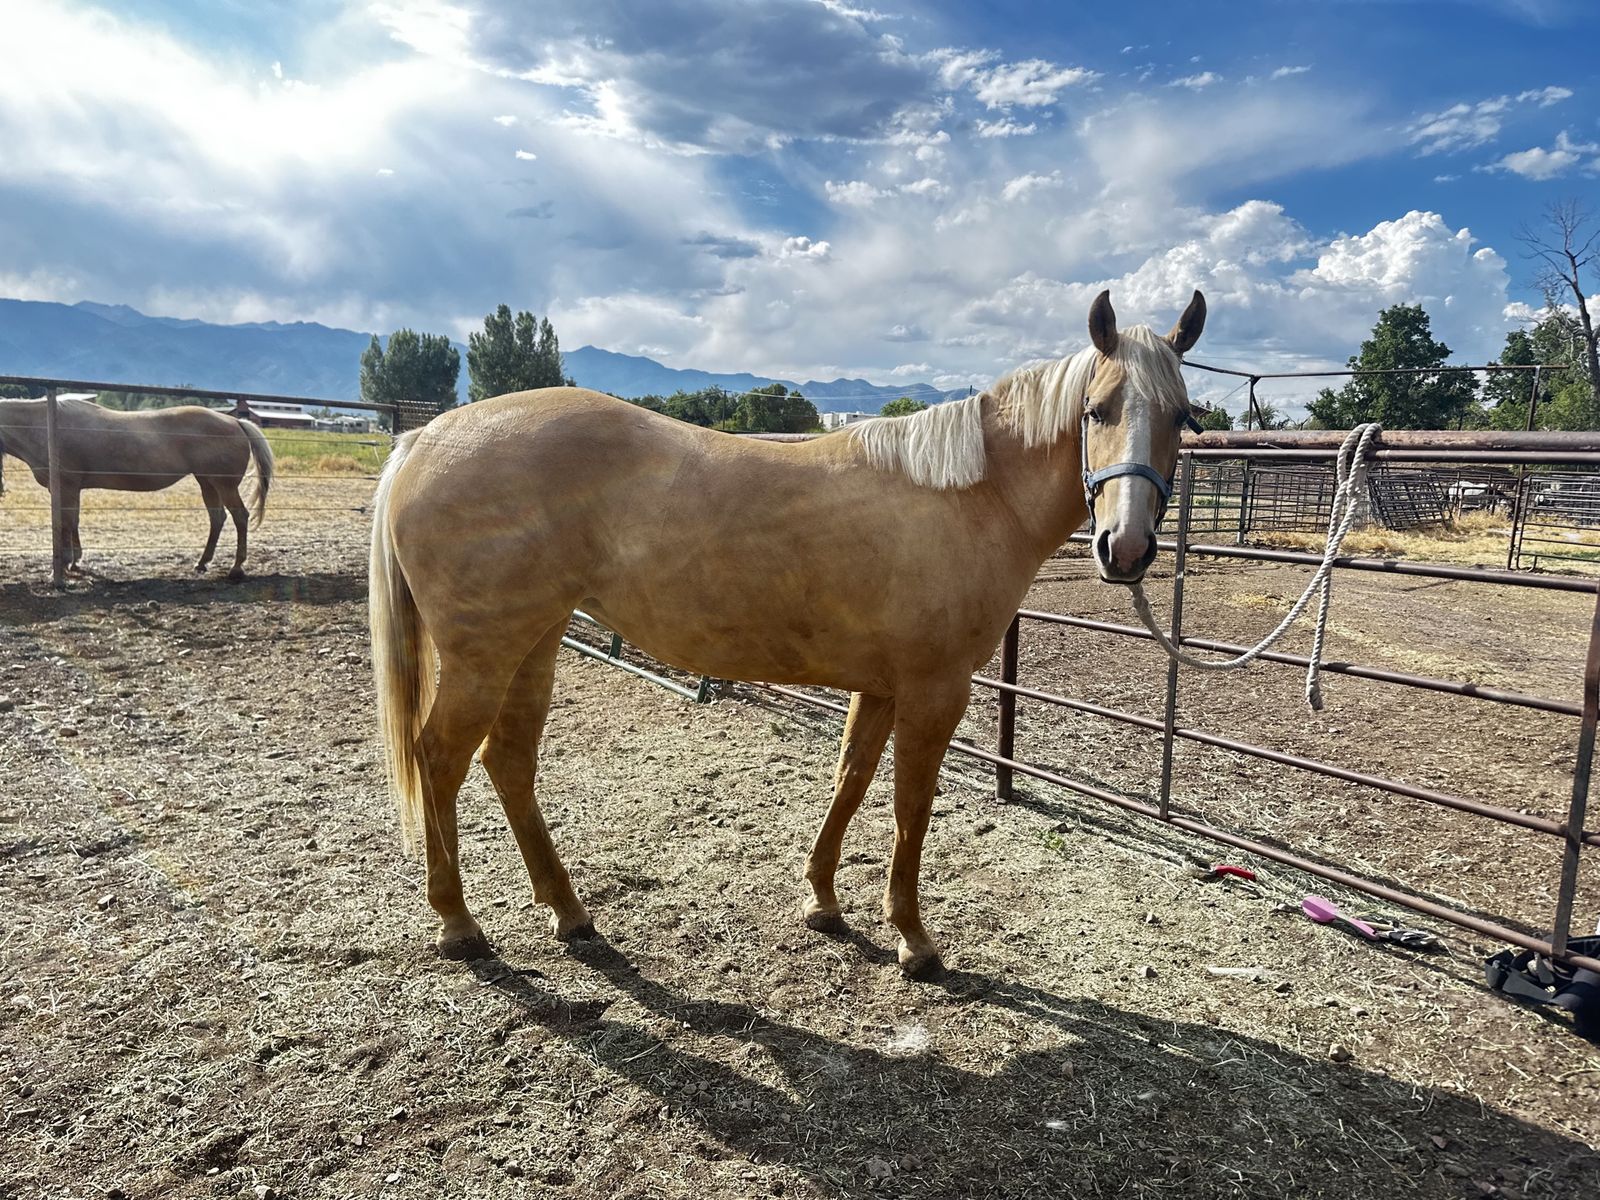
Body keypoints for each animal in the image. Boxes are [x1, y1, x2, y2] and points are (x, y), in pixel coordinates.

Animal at [0, 397, 274, 580]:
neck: (47, 429)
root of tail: (235, 421)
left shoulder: (67, 486)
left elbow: (66, 522)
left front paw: (65, 564)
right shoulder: (70, 489)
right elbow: (72, 522)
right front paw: (75, 561)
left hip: (224, 484)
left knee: (240, 517)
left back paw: (236, 568)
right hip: (207, 482)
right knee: (217, 518)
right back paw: (201, 563)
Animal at [369, 289, 1206, 976]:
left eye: (1180, 416)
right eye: (1098, 409)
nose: (1127, 548)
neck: (968, 497)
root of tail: (425, 439)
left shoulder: (881, 686)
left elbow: (851, 780)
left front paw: (823, 901)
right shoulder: (936, 691)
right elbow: (911, 808)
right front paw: (913, 939)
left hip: (533, 643)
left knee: (508, 761)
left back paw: (568, 911)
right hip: (483, 654)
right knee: (440, 758)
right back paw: (458, 924)